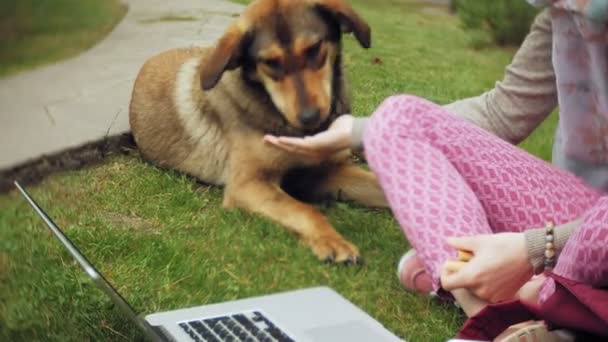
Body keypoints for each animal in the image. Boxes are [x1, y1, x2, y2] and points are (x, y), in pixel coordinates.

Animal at [129, 0, 388, 264]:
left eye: (314, 49)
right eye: (270, 63)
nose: (310, 118)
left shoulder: (326, 171)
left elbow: (379, 186)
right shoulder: (247, 184)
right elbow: (303, 209)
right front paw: (331, 240)